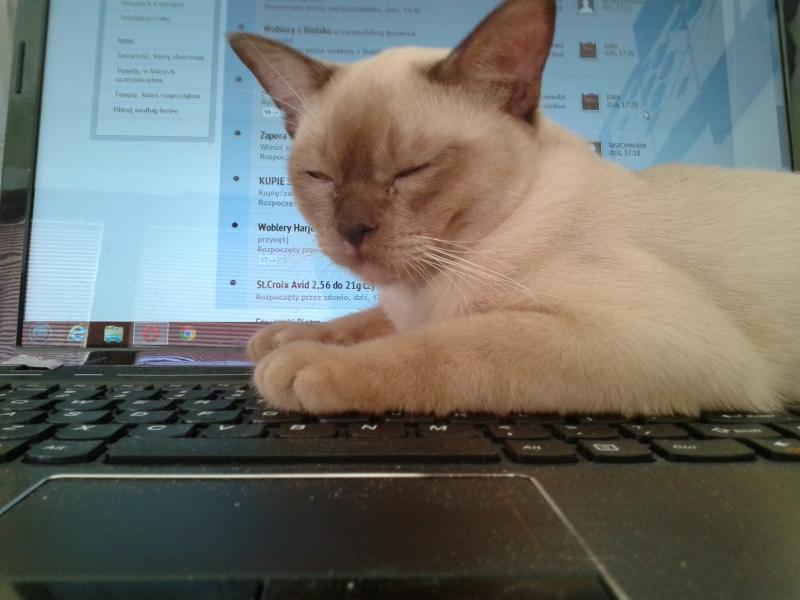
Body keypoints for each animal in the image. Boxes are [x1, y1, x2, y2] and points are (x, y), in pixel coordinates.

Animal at [229, 0, 800, 417]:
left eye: (411, 170)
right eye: (319, 177)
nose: (352, 230)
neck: (427, 287)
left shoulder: (640, 337)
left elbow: (448, 345)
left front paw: (298, 362)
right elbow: (370, 320)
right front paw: (284, 336)